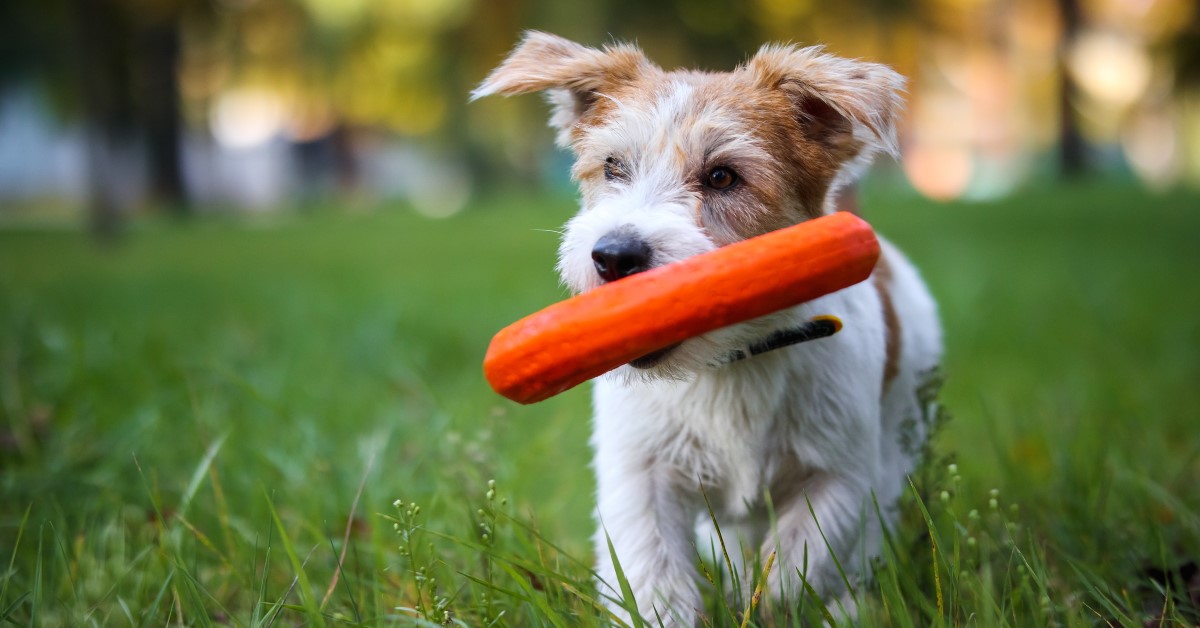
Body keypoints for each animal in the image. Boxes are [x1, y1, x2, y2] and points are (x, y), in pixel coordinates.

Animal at [472, 33, 940, 624]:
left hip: (897, 443)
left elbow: (798, 568)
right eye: (613, 167)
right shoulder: (641, 478)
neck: (730, 363)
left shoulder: (839, 477)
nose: (614, 255)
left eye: (722, 176)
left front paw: (777, 606)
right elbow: (653, 576)